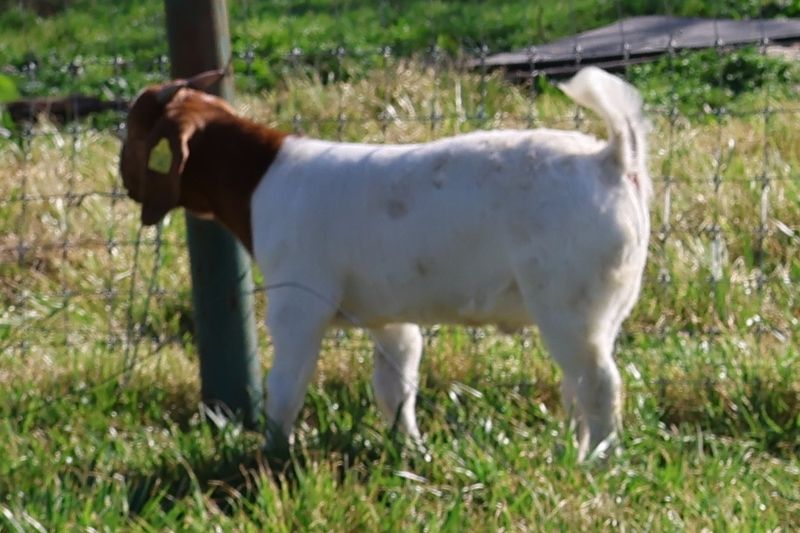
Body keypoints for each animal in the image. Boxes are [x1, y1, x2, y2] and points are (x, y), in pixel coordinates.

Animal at [120, 66, 651, 461]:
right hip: (603, 309)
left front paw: (273, 454)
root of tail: (610, 159)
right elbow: (394, 387)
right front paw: (411, 451)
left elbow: (286, 385)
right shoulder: (389, 320)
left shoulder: (298, 306)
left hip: (568, 306)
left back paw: (595, 463)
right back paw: (572, 452)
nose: (124, 183)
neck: (258, 176)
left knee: (600, 385)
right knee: (578, 385)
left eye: (134, 127)